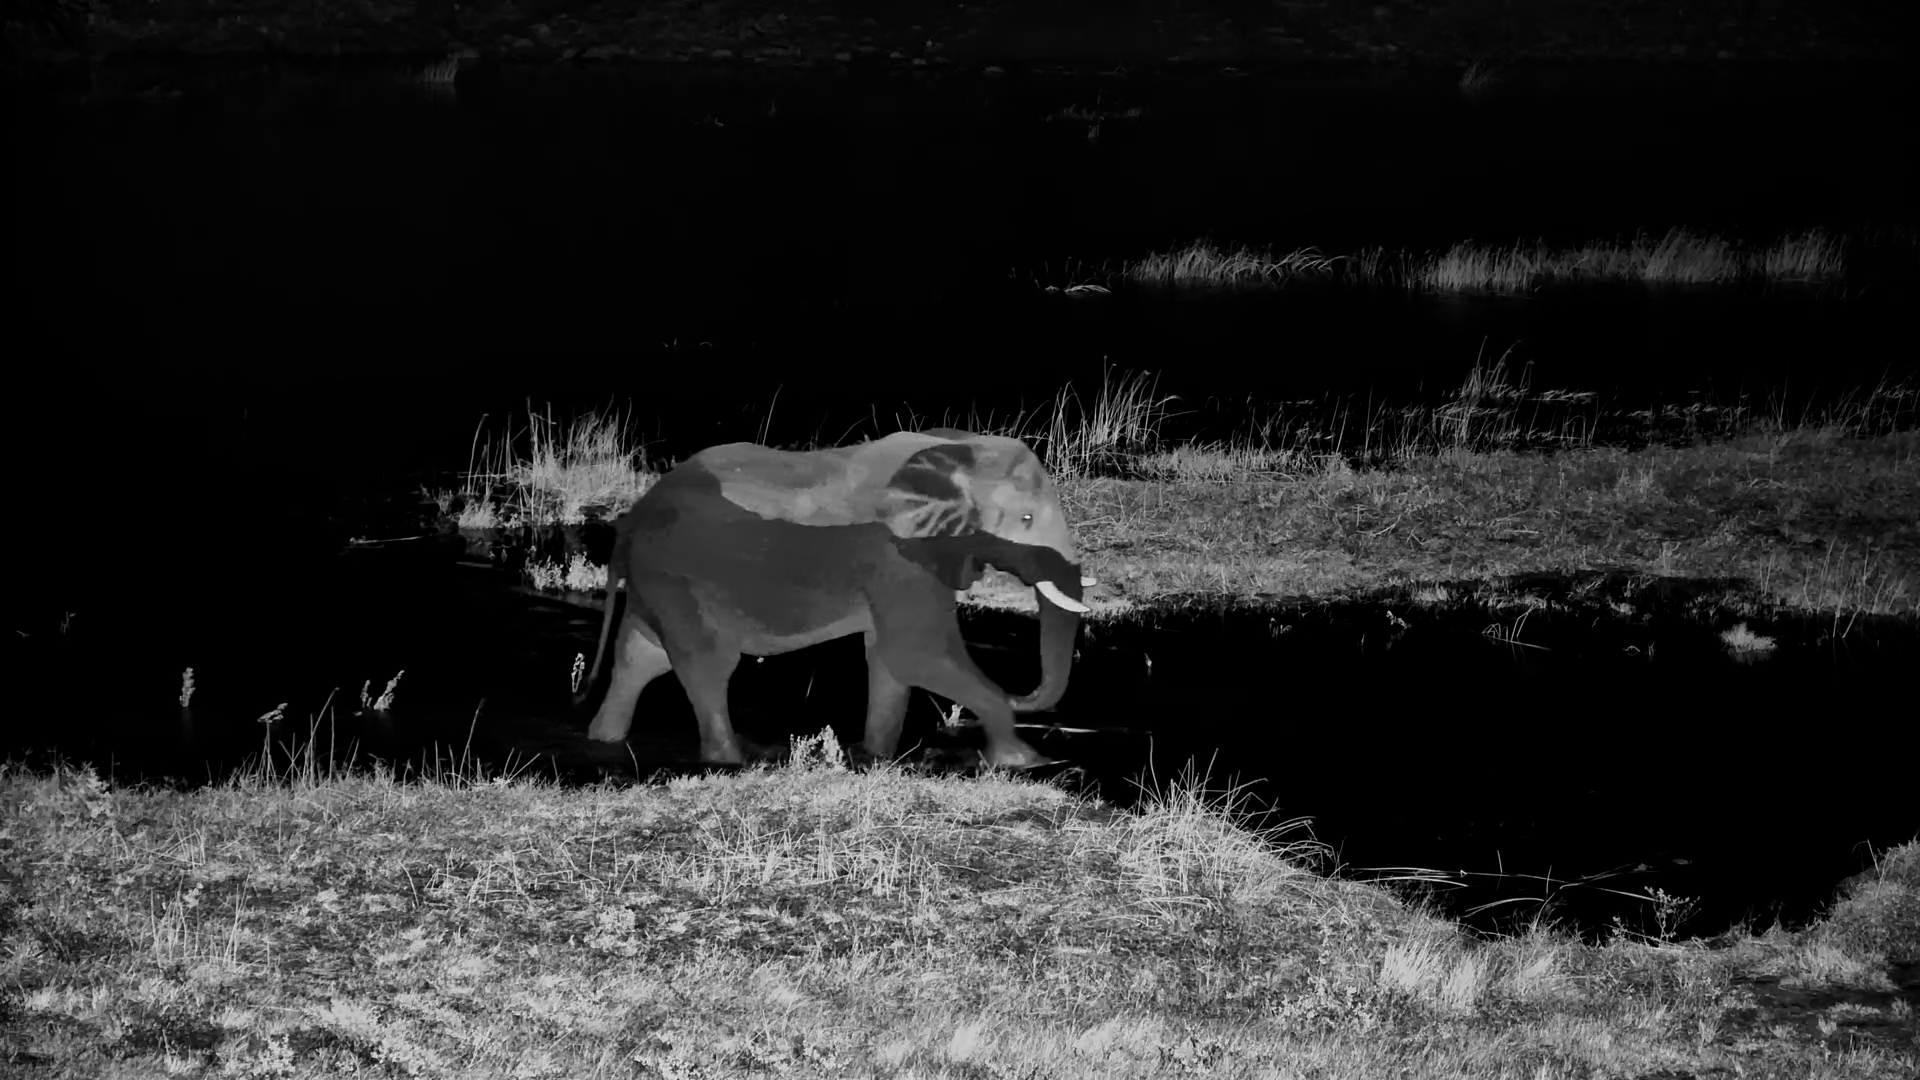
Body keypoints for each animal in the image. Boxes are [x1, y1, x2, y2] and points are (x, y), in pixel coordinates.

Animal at [576, 429, 1089, 768]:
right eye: (1026, 519)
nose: (1023, 694)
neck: (959, 450)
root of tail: (631, 520)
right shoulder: (898, 555)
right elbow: (916, 653)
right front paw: (1027, 762)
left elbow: (890, 658)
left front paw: (875, 757)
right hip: (676, 576)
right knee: (707, 664)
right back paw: (735, 760)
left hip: (658, 580)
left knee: (638, 658)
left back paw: (603, 739)